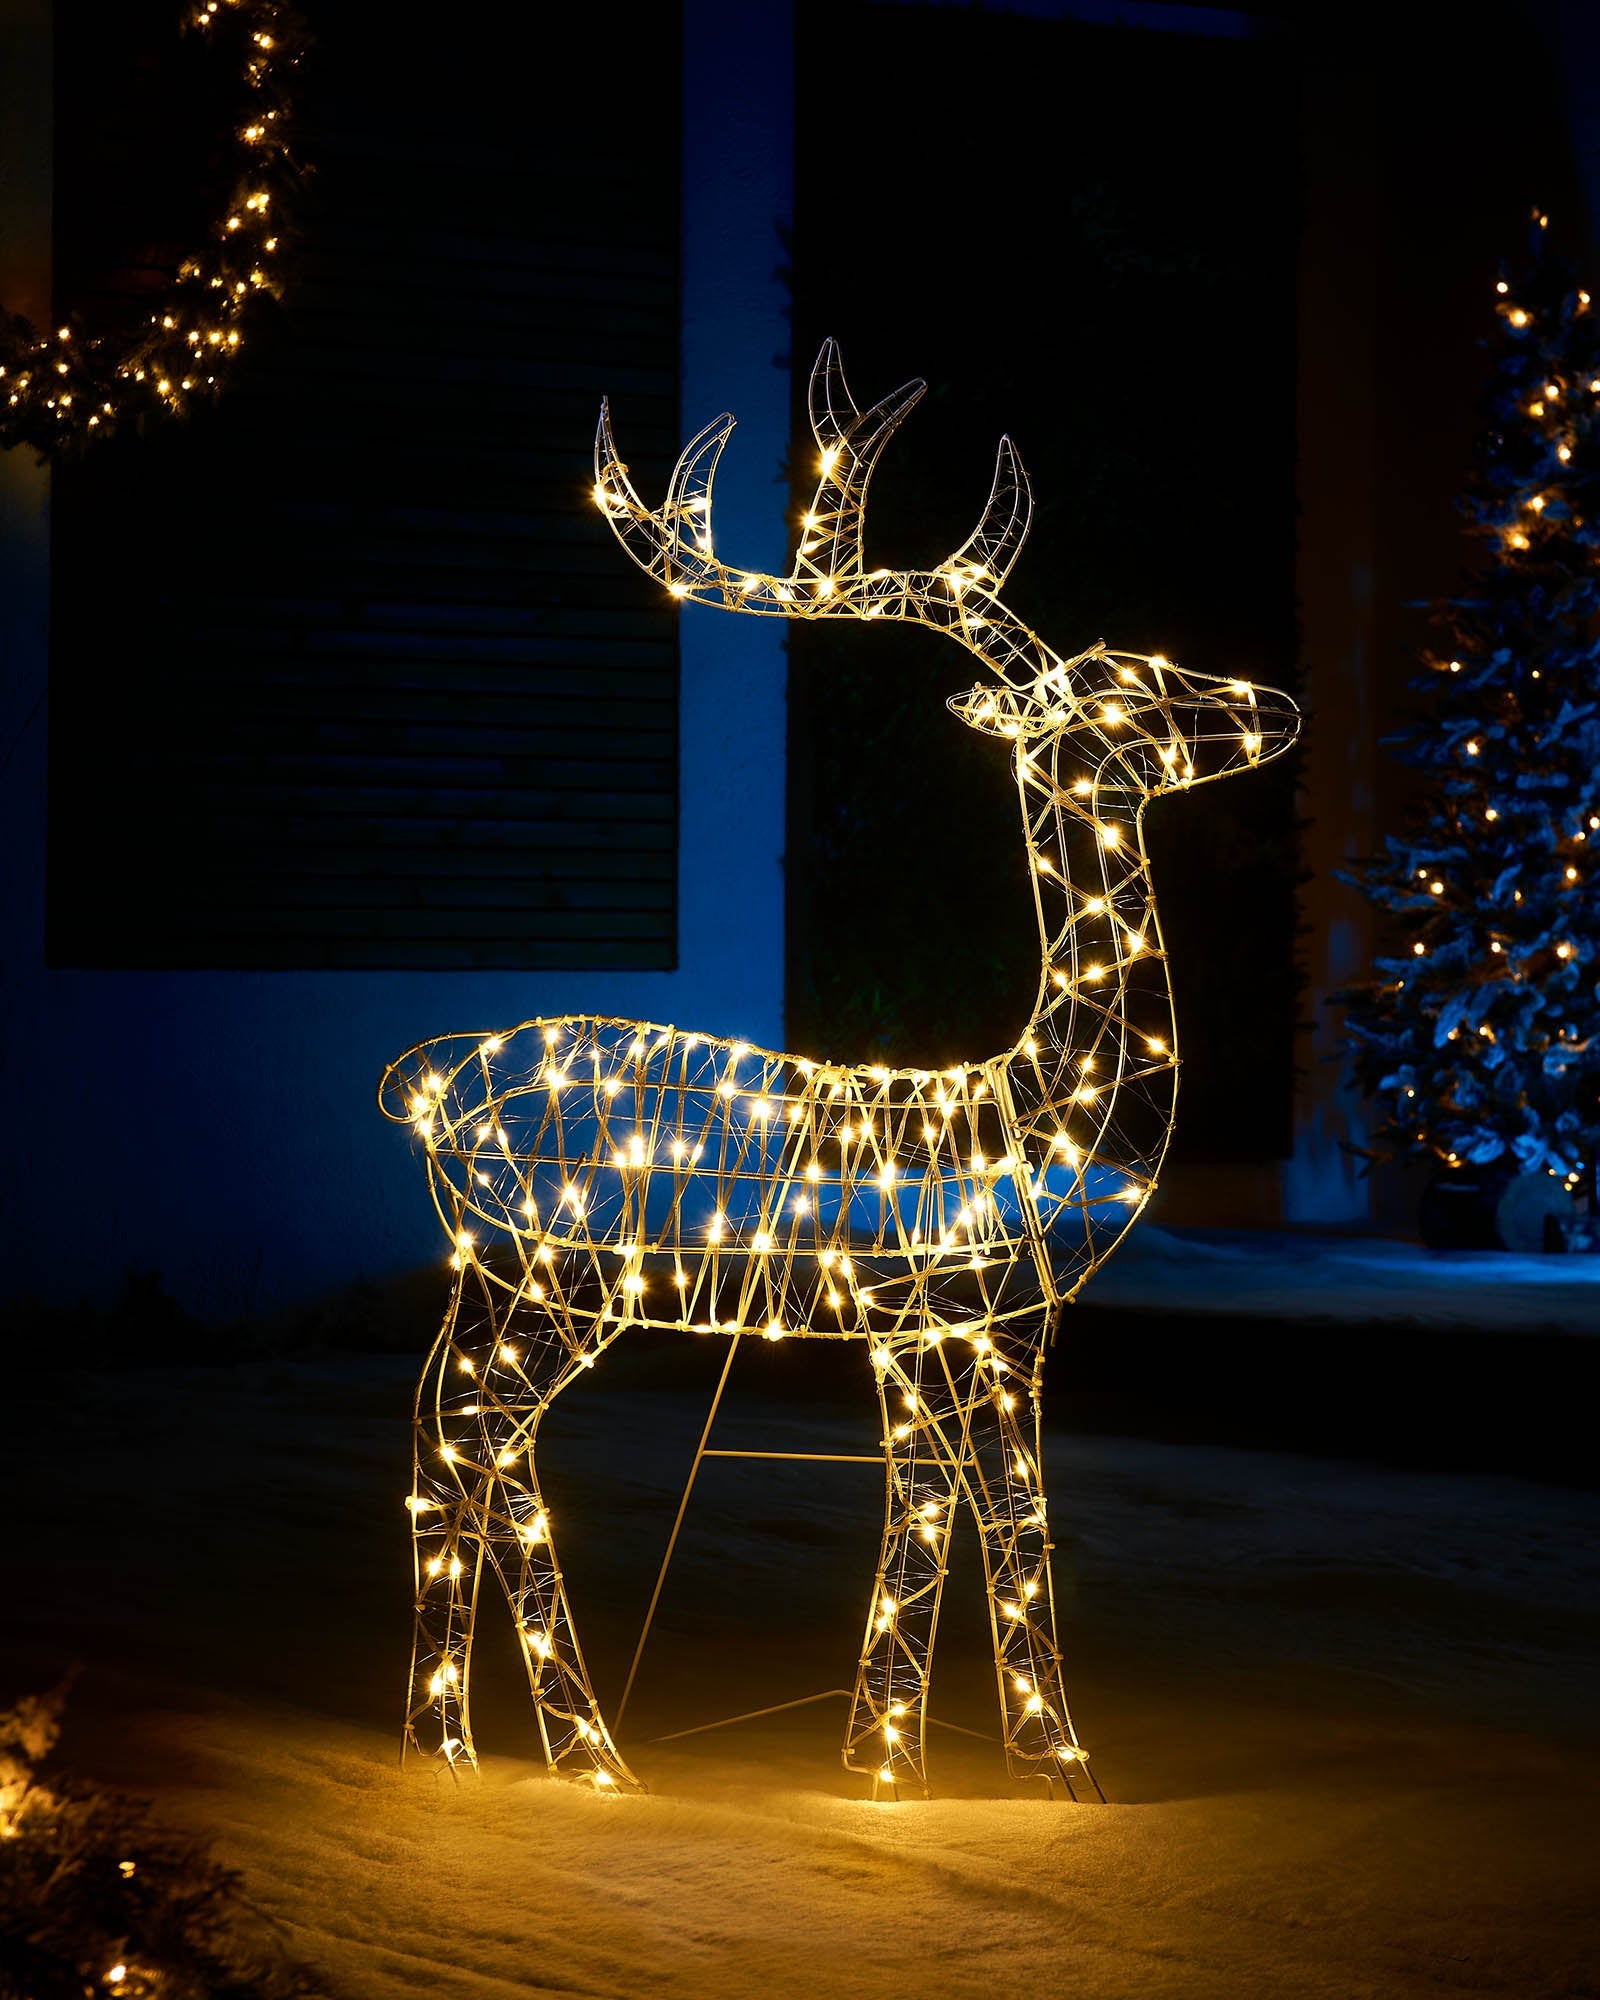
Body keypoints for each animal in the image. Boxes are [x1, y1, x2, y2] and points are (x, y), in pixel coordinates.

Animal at [379, 341, 1300, 1802]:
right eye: (1122, 686)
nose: (1276, 704)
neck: (1033, 1111)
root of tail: (434, 1077)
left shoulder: (947, 1328)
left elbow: (950, 1510)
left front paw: (924, 1763)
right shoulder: (962, 1314)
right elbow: (991, 1513)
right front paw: (1027, 1769)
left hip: (499, 1276)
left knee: (457, 1430)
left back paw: (506, 1748)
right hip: (548, 1269)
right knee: (474, 1432)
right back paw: (533, 1747)